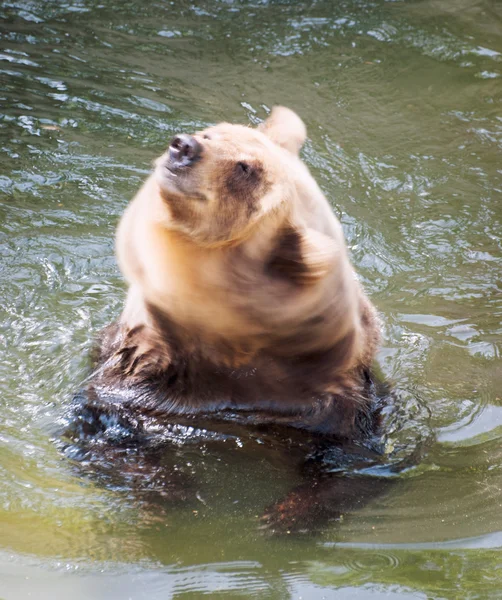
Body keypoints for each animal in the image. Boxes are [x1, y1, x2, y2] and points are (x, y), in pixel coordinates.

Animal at [72, 106, 386, 528]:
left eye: (244, 167)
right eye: (211, 132)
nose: (183, 146)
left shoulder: (331, 408)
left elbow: (356, 464)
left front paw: (284, 516)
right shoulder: (137, 374)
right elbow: (101, 427)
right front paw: (171, 489)